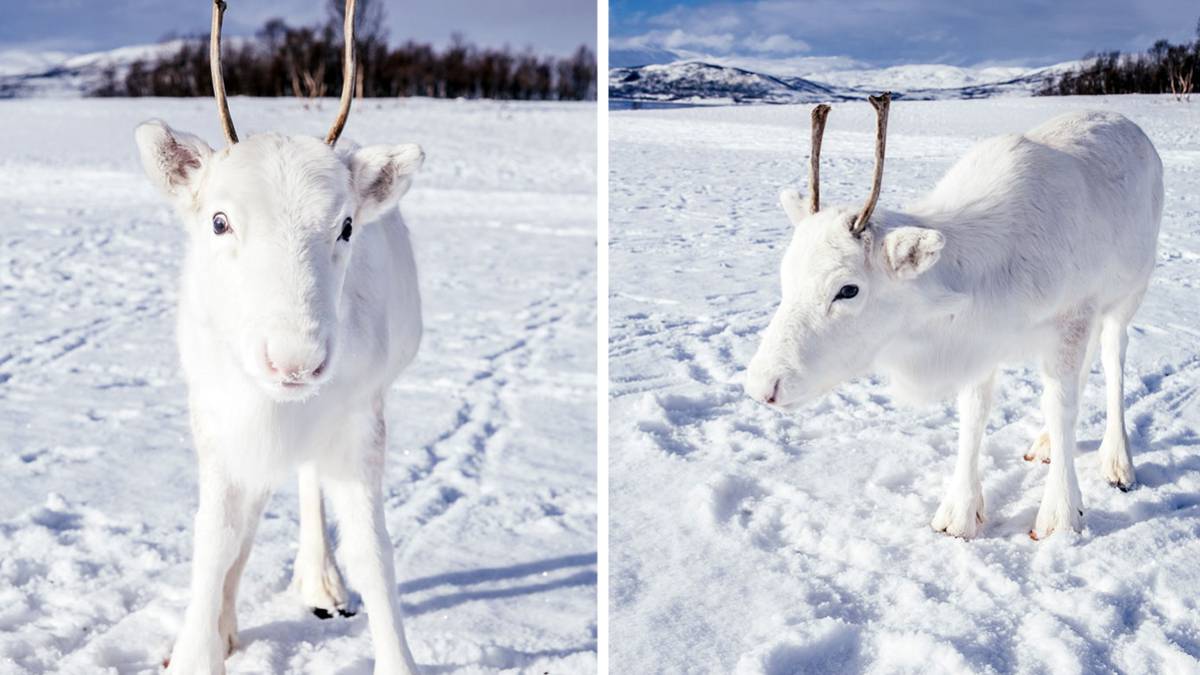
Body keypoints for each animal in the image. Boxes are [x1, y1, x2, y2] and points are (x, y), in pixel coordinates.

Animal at [135, 2, 424, 667]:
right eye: (219, 220)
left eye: (347, 225)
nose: (295, 361)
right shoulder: (218, 416)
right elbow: (216, 537)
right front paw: (196, 651)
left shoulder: (360, 419)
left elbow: (374, 552)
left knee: (307, 483)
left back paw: (320, 581)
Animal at [748, 93, 1161, 535]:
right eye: (786, 274)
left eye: (847, 289)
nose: (762, 386)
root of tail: (1133, 127)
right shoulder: (982, 343)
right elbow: (974, 414)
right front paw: (960, 512)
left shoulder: (1071, 317)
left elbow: (1060, 405)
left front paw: (1061, 515)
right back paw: (1046, 443)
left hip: (1128, 295)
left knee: (1113, 358)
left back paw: (1118, 461)